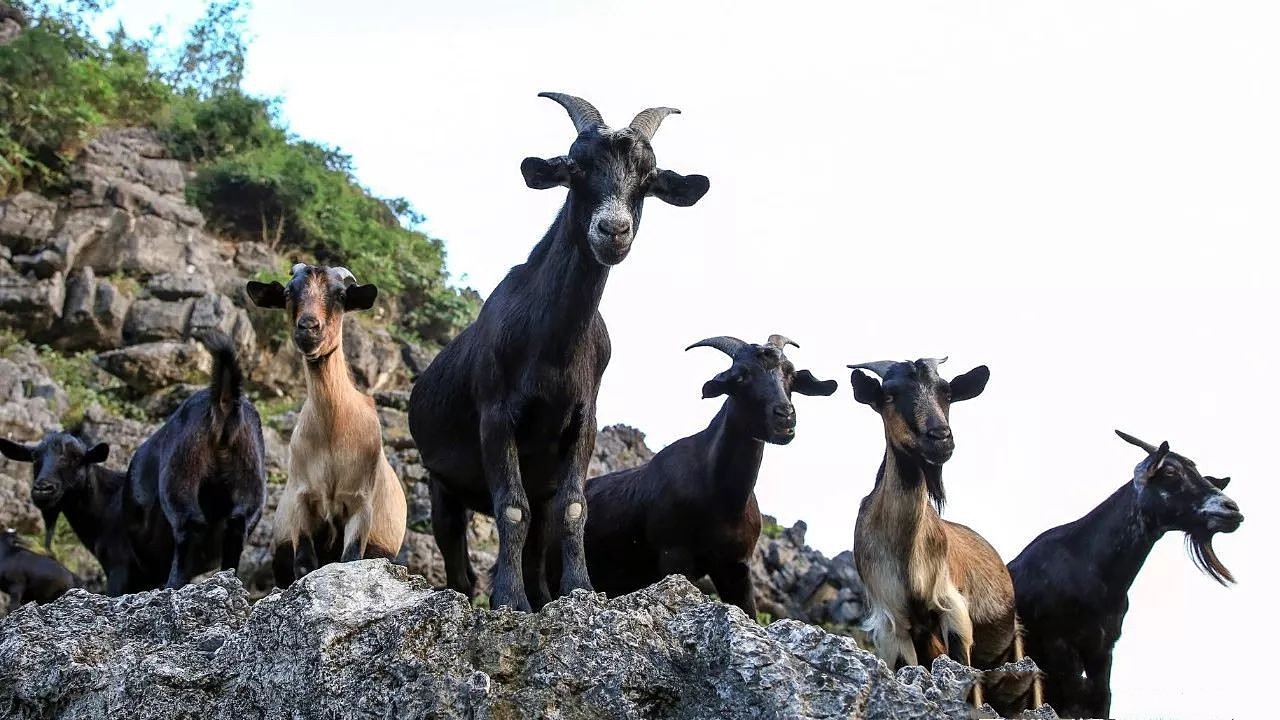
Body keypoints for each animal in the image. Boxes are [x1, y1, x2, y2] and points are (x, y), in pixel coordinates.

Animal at [0, 333, 264, 591]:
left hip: (182, 470)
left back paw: (175, 585)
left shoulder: (119, 565)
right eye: (35, 458)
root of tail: (222, 400)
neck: (107, 503)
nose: (43, 488)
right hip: (249, 474)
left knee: (190, 522)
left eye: (76, 459)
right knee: (237, 524)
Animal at [247, 263, 407, 584]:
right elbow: (304, 565)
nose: (308, 327)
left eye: (341, 295)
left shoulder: (361, 504)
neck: (334, 430)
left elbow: (350, 560)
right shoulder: (301, 500)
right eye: (288, 292)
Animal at [407, 90, 711, 609]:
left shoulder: (582, 423)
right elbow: (510, 508)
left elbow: (573, 508)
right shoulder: (496, 416)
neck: (552, 349)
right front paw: (509, 600)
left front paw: (579, 589)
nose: (613, 230)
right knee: (460, 567)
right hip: (442, 487)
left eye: (648, 179)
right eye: (575, 167)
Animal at [555, 333, 834, 614]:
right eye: (740, 376)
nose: (785, 416)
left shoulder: (735, 566)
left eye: (791, 374)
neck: (721, 497)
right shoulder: (674, 557)